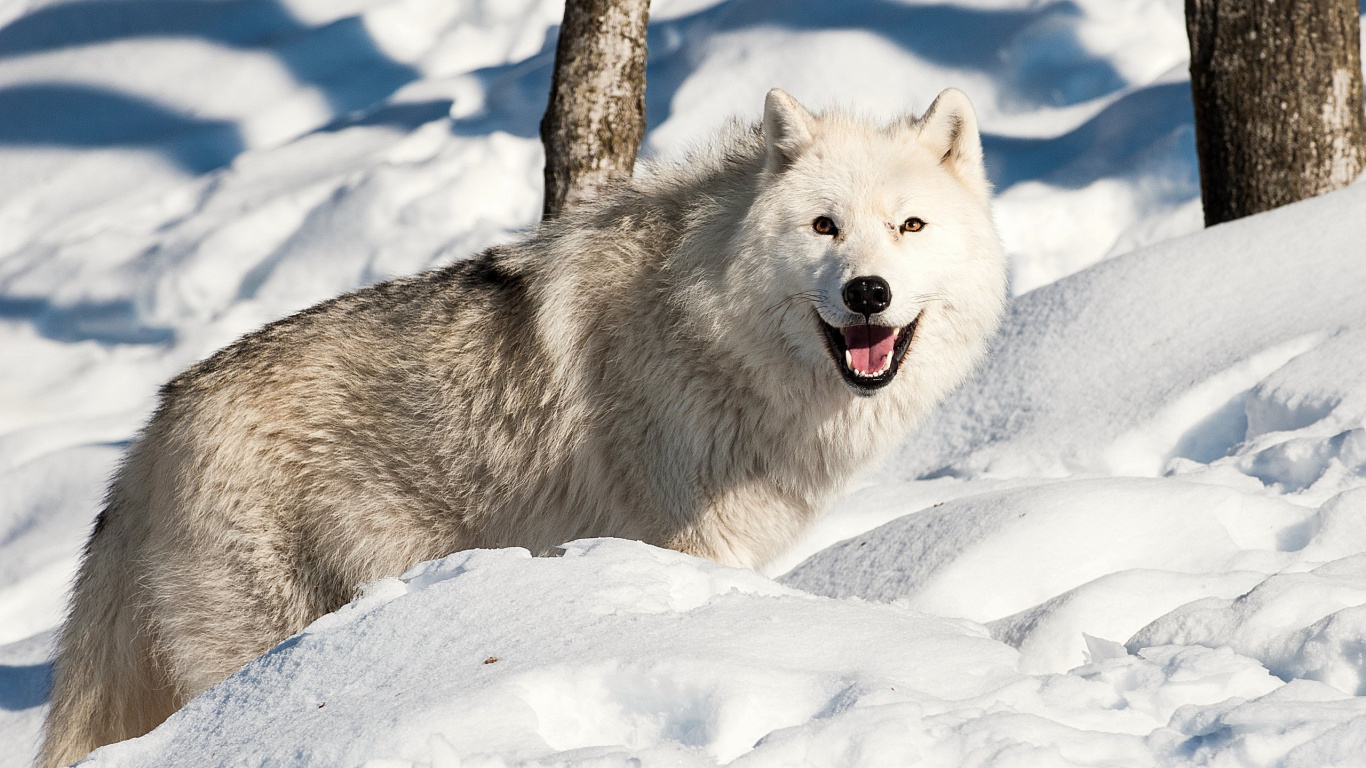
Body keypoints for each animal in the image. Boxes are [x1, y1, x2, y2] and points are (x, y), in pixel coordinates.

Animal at [39, 88, 1006, 766]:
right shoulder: (690, 549)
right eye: (824, 226)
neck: (710, 329)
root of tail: (151, 431)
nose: (867, 293)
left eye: (910, 226)